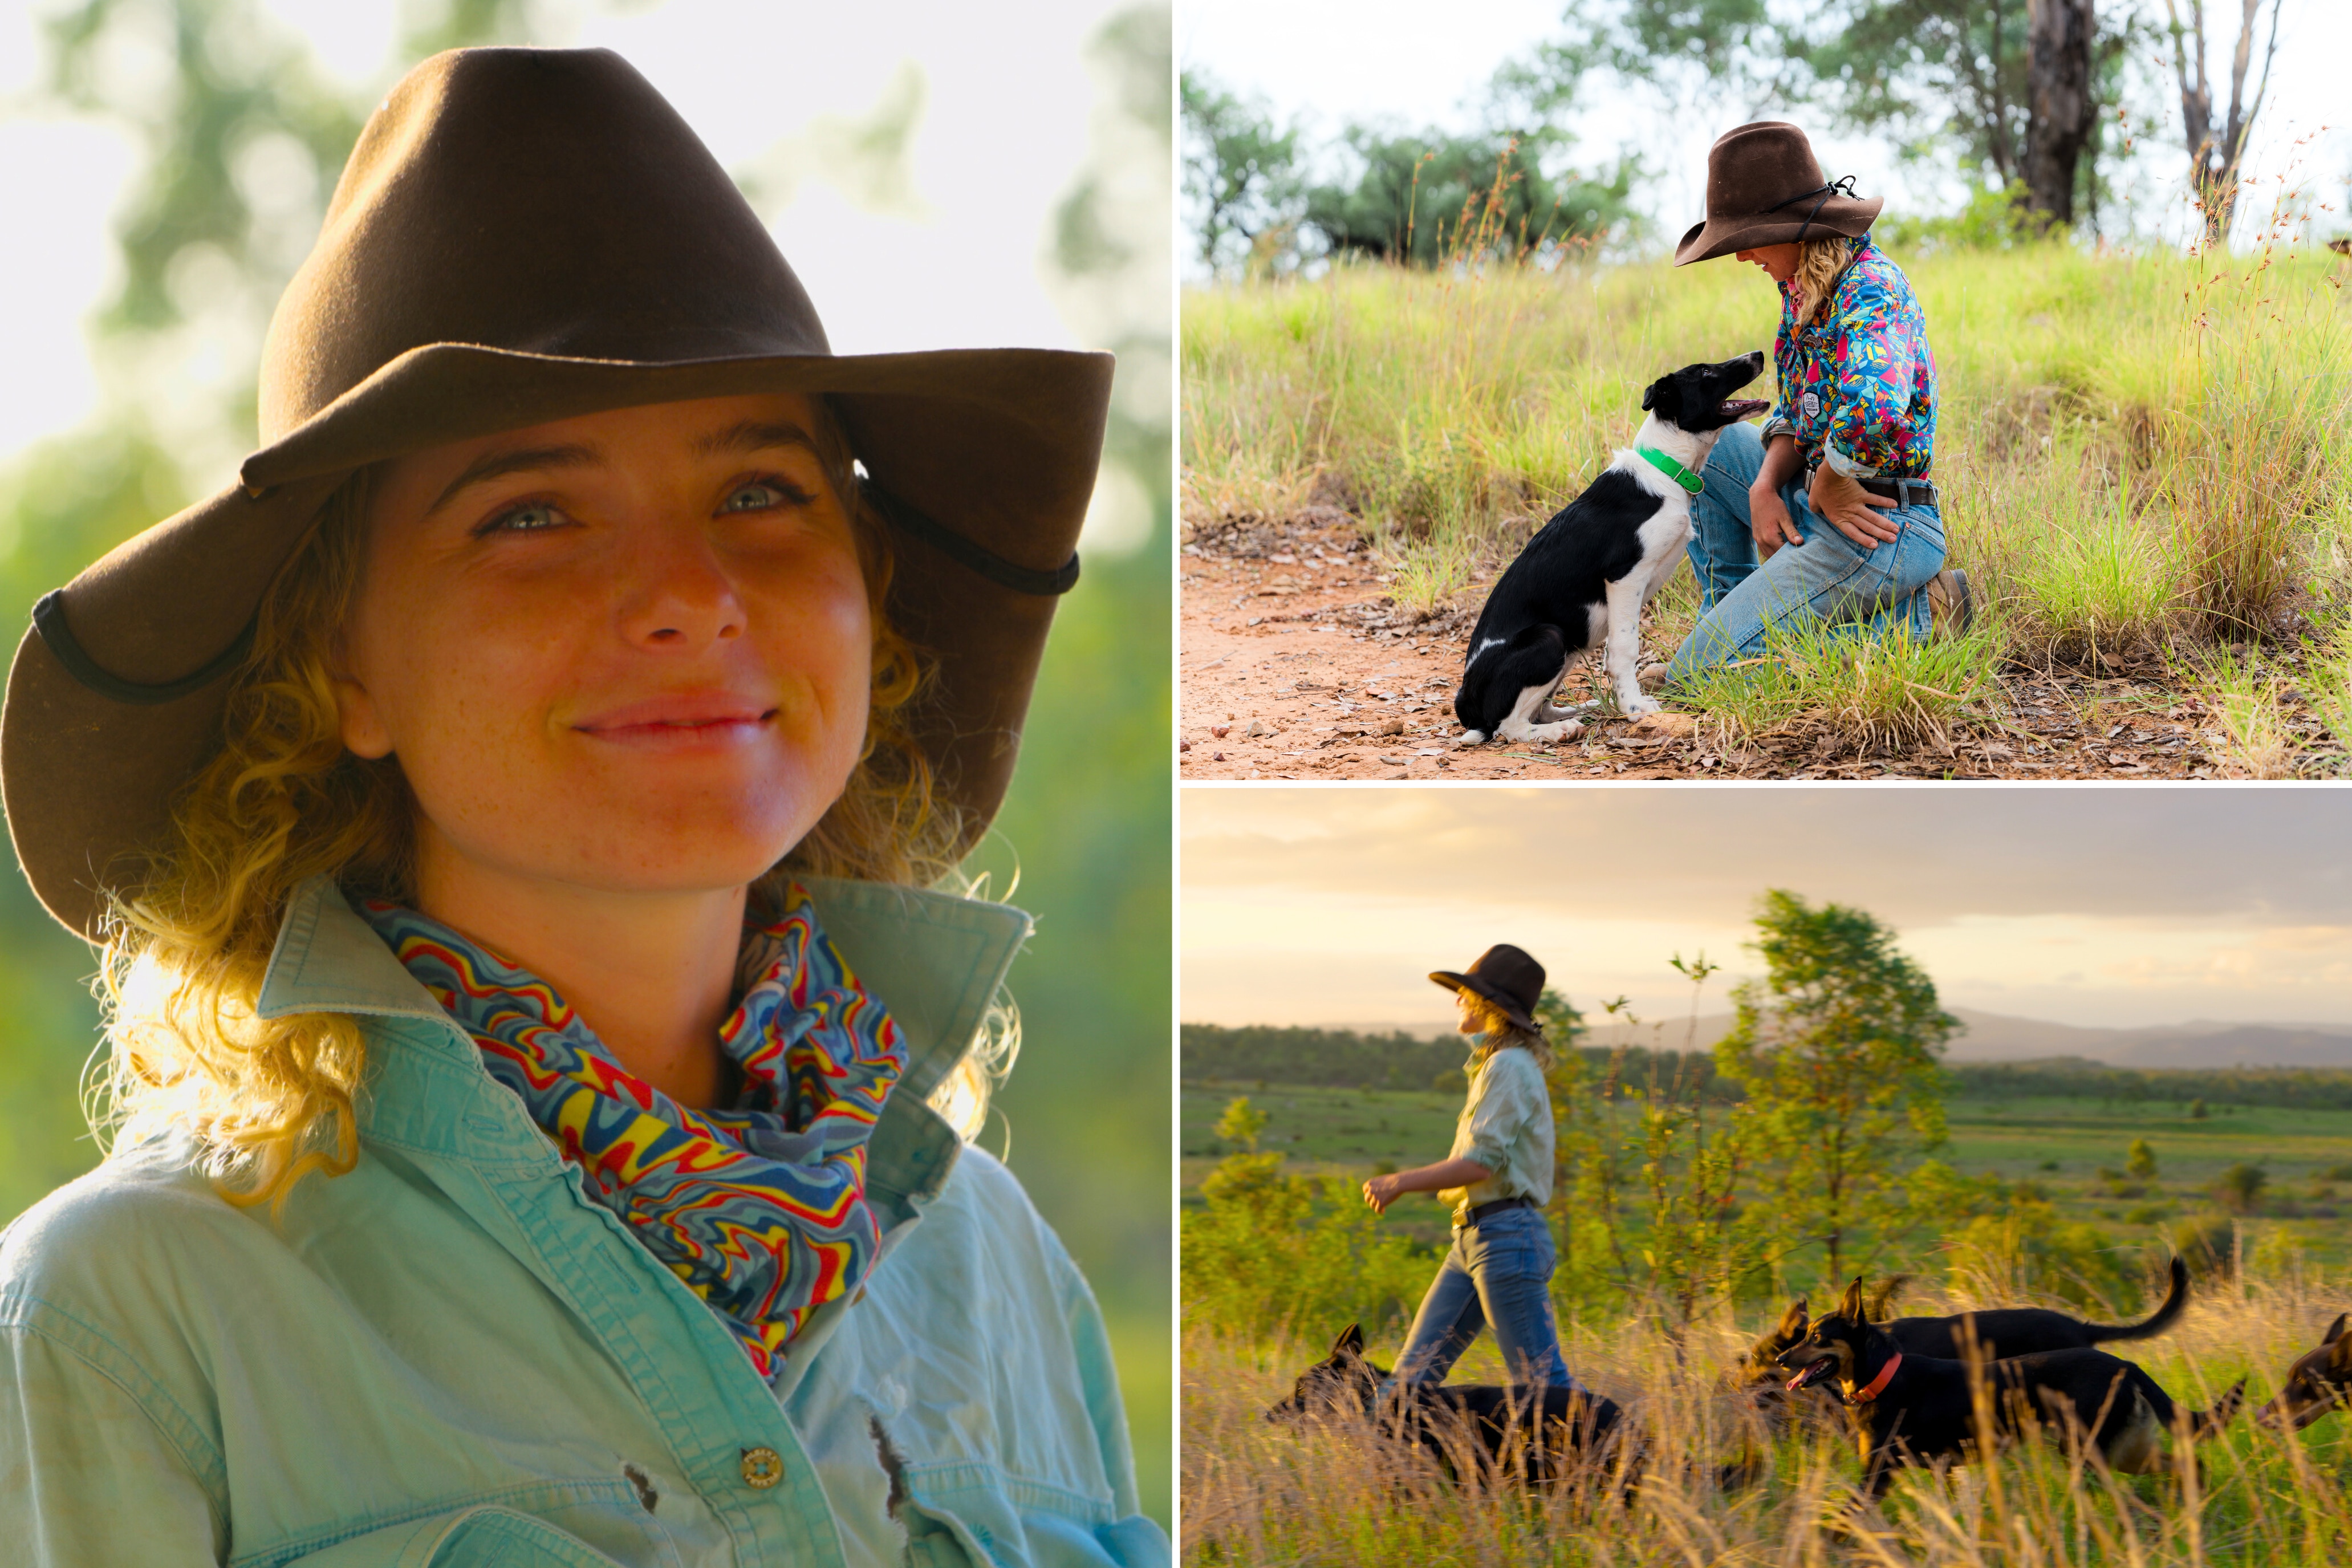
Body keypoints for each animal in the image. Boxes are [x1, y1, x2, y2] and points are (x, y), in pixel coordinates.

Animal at [1449, 355, 1769, 748]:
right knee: (1507, 728)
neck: (1665, 470)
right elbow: (1624, 650)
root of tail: (1465, 700)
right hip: (1551, 639)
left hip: (1571, 643)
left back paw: (1578, 711)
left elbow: (1616, 651)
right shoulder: (1624, 577)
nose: (1758, 355)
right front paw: (1633, 707)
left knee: (1539, 708)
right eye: (1706, 372)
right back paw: (1557, 731)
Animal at [1769, 1278, 2248, 1495]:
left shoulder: (1877, 1474)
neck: (1884, 1376)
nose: (1778, 1360)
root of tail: (2126, 1366)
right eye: (1804, 1333)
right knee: (2188, 1464)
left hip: (2087, 1450)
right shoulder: (1941, 1470)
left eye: (1818, 1337)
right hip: (2123, 1448)